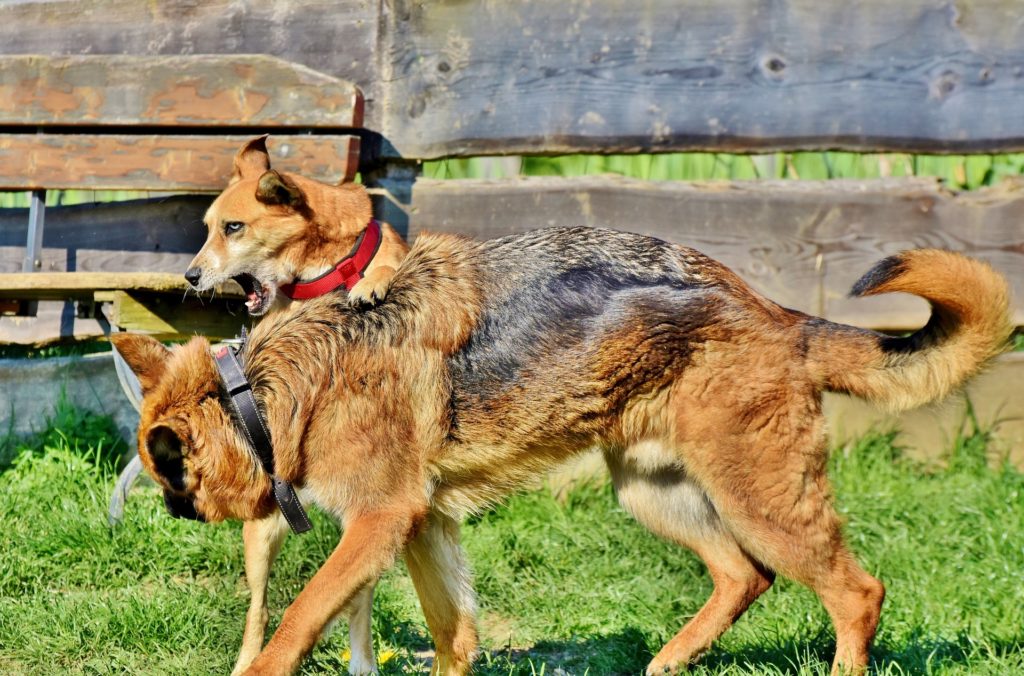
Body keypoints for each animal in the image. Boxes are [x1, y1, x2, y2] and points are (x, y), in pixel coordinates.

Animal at [110, 228, 1007, 676]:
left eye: (172, 482)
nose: (172, 513)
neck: (261, 391)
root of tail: (780, 317)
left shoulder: (379, 523)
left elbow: (297, 621)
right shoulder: (425, 528)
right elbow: (454, 640)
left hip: (759, 495)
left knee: (855, 593)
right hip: (654, 492)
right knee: (741, 575)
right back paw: (666, 666)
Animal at [184, 137, 407, 676]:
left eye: (234, 227)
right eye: (209, 227)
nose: (190, 275)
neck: (320, 272)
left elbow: (385, 266)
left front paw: (372, 283)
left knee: (358, 596)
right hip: (264, 532)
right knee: (260, 608)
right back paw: (248, 660)